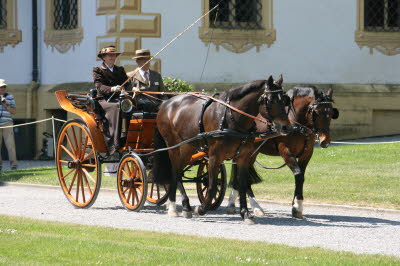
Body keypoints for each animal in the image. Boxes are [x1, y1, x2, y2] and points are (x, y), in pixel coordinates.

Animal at [153, 76, 290, 223]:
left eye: (284, 100)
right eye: (270, 100)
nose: (286, 127)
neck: (232, 118)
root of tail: (166, 103)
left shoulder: (243, 158)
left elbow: (242, 185)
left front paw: (245, 213)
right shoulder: (214, 157)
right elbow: (212, 187)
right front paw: (201, 209)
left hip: (187, 148)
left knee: (177, 171)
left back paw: (182, 206)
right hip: (174, 147)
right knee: (175, 172)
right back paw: (175, 206)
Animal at [227, 86, 340, 219]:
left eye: (331, 113)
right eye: (317, 112)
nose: (325, 141)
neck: (296, 124)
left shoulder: (306, 153)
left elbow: (301, 177)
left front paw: (296, 205)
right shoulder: (285, 150)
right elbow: (298, 174)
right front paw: (297, 206)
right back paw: (252, 206)